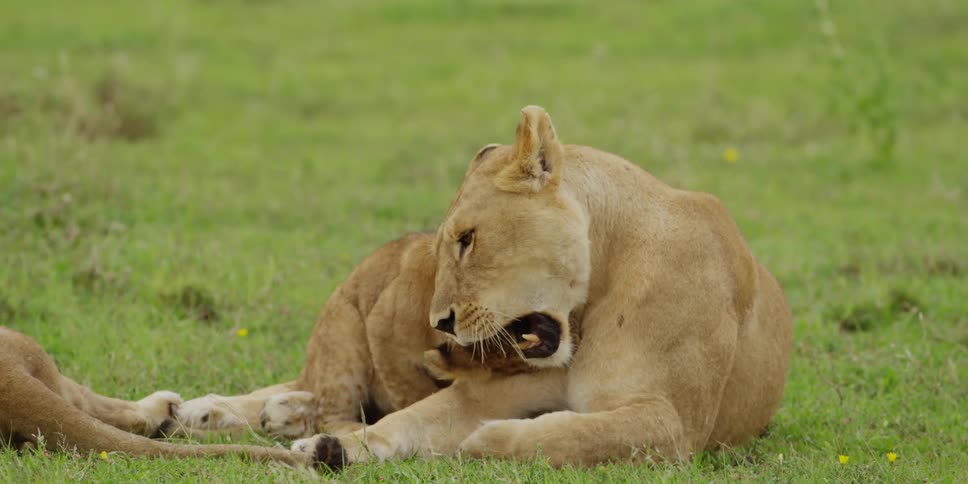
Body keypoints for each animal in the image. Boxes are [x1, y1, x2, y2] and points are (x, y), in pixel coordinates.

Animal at [296, 105, 793, 469]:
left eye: (467, 239)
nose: (441, 322)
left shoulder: (674, 423)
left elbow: (573, 435)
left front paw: (485, 439)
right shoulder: (492, 388)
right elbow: (406, 422)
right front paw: (330, 446)